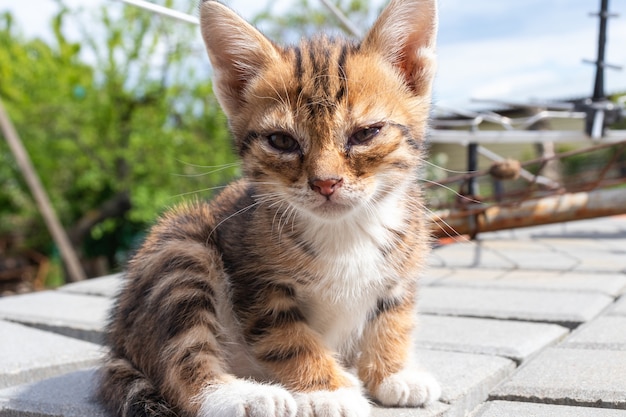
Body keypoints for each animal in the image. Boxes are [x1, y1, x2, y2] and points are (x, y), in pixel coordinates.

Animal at [98, 0, 438, 416]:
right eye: (281, 141)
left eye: (366, 134)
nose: (326, 183)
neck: (344, 233)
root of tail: (119, 339)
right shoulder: (256, 282)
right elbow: (287, 337)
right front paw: (328, 392)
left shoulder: (400, 271)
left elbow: (393, 316)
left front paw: (392, 373)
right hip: (180, 249)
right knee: (180, 359)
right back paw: (242, 395)